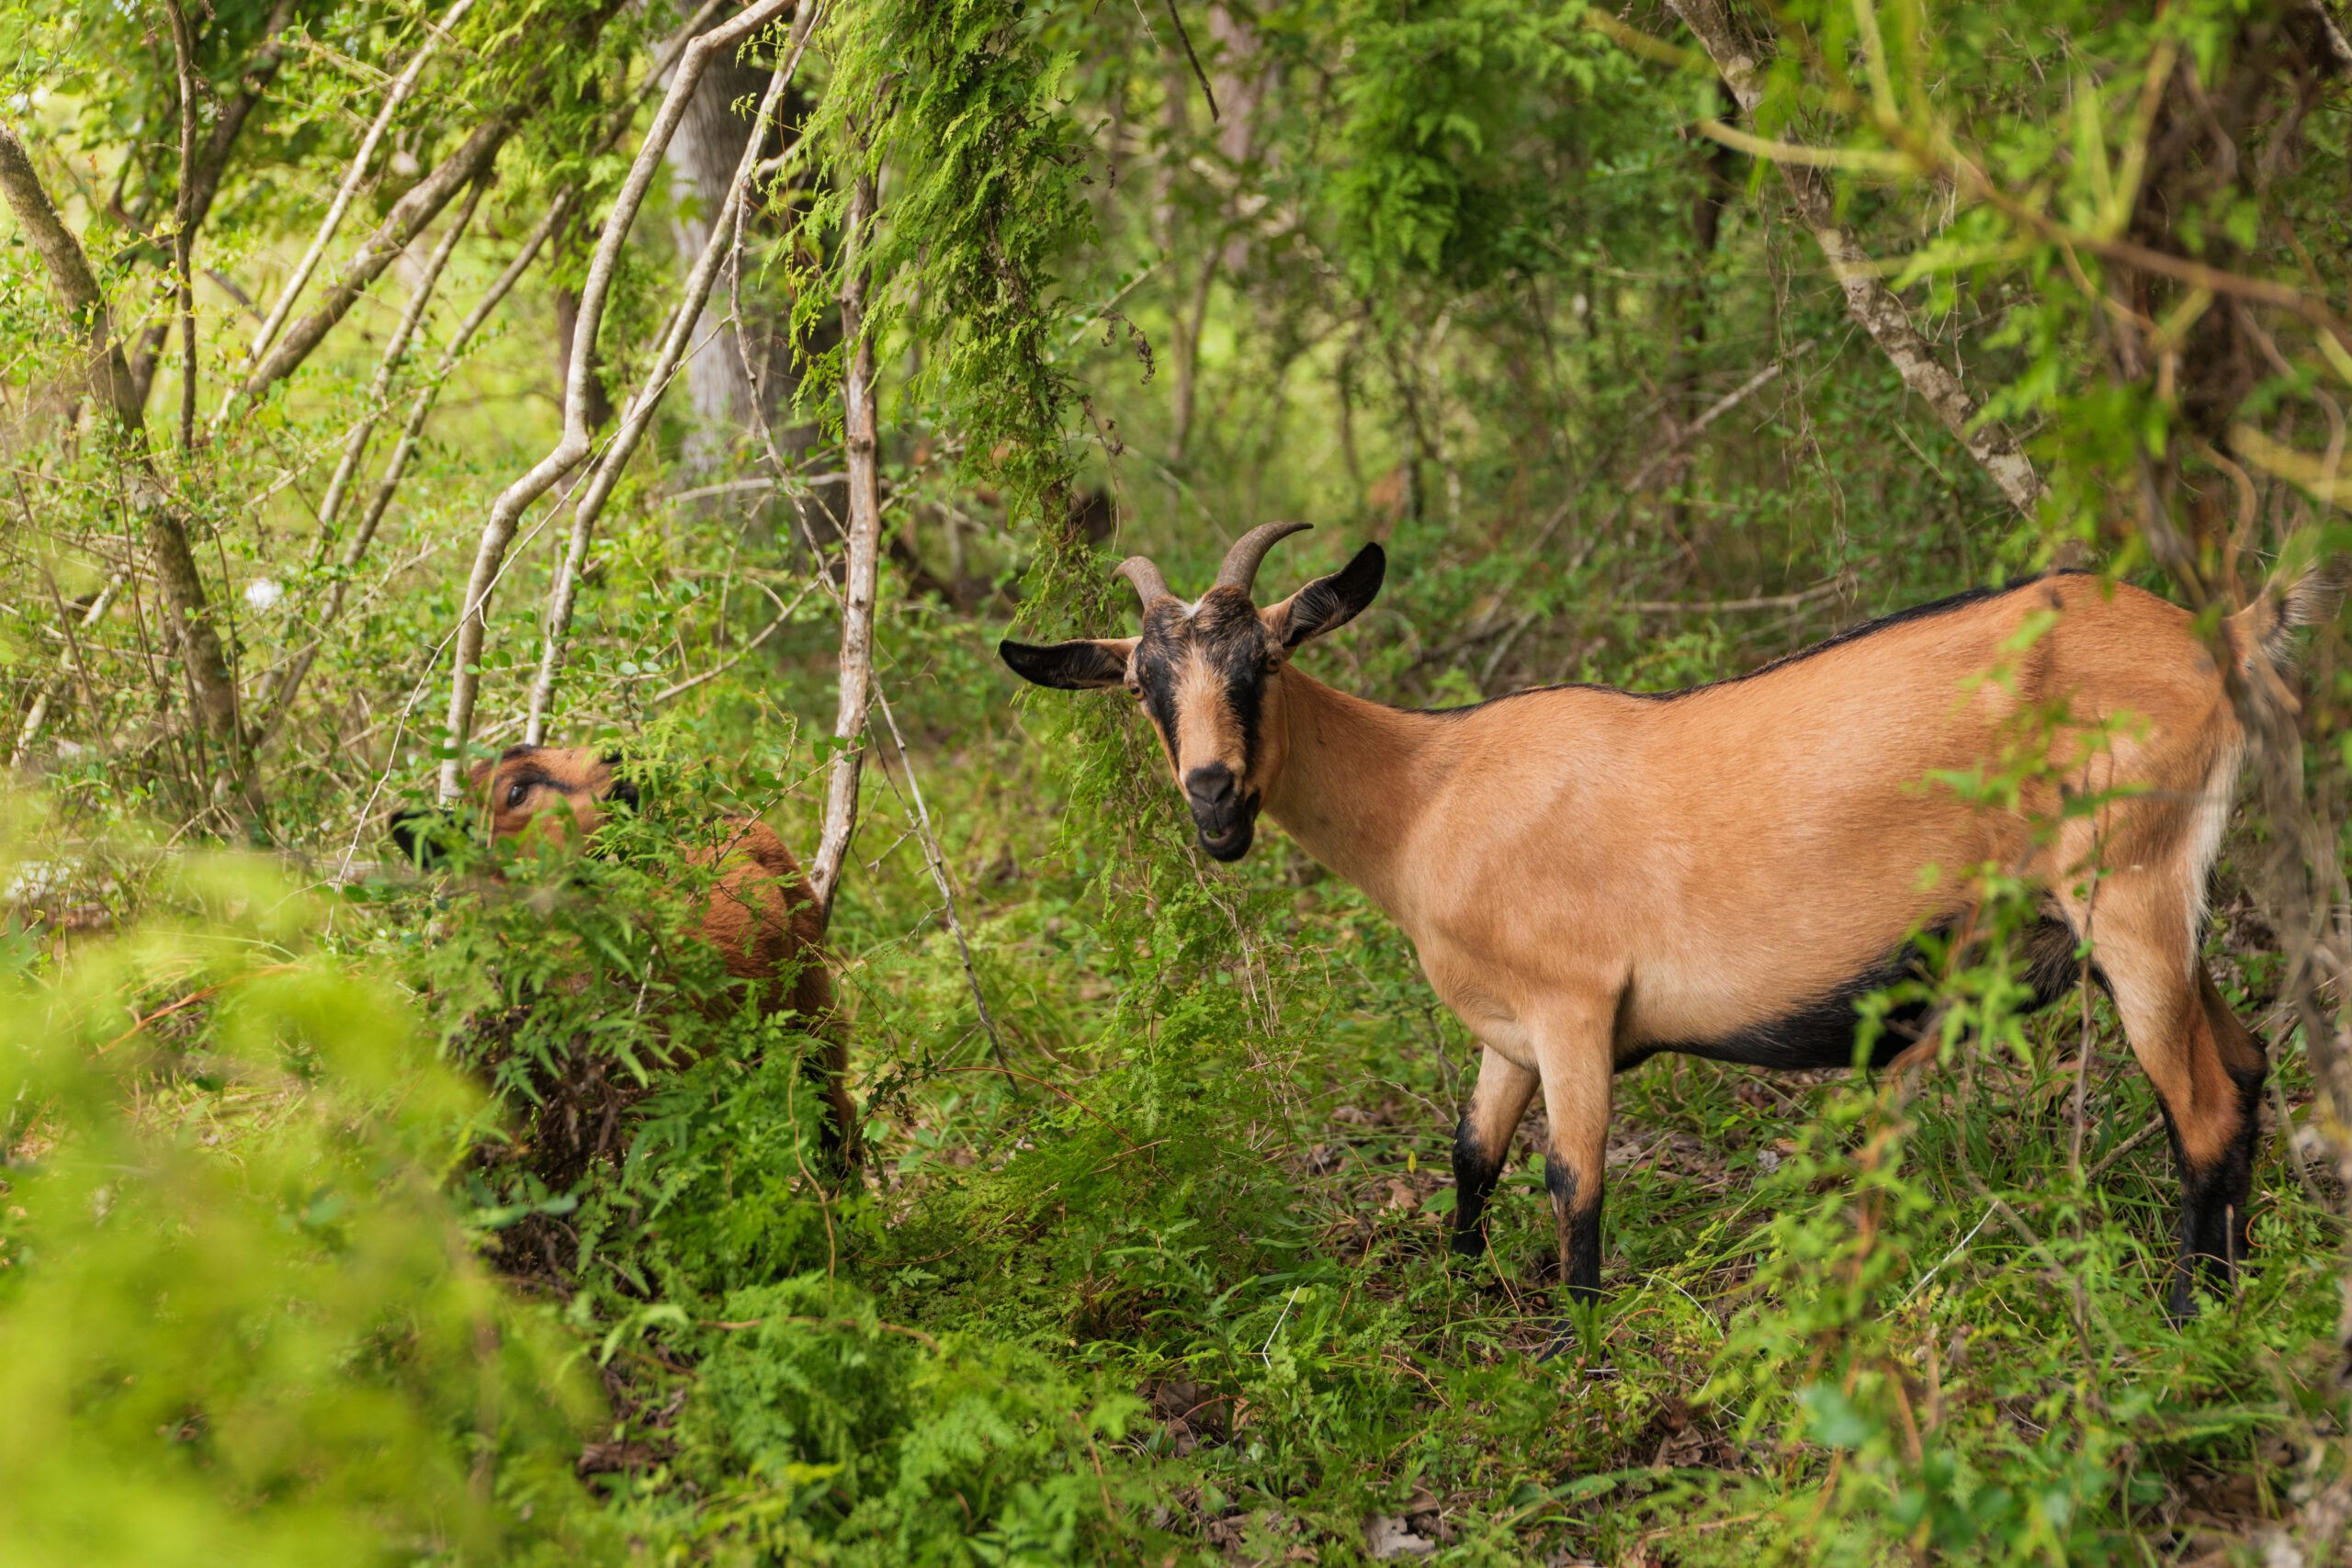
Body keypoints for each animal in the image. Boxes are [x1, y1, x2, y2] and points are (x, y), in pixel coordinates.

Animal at [1001, 523, 2339, 1325]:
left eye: (1263, 662)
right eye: (1143, 686)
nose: (1213, 800)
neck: (1429, 794)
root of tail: (2229, 635)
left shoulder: (1575, 1004)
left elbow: (1573, 1176)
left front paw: (1576, 1341)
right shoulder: (1505, 1031)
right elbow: (1471, 1154)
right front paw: (1461, 1286)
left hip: (2130, 889)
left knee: (2198, 1104)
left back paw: (2182, 1314)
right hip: (2159, 912)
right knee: (2244, 1065)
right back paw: (2237, 1285)